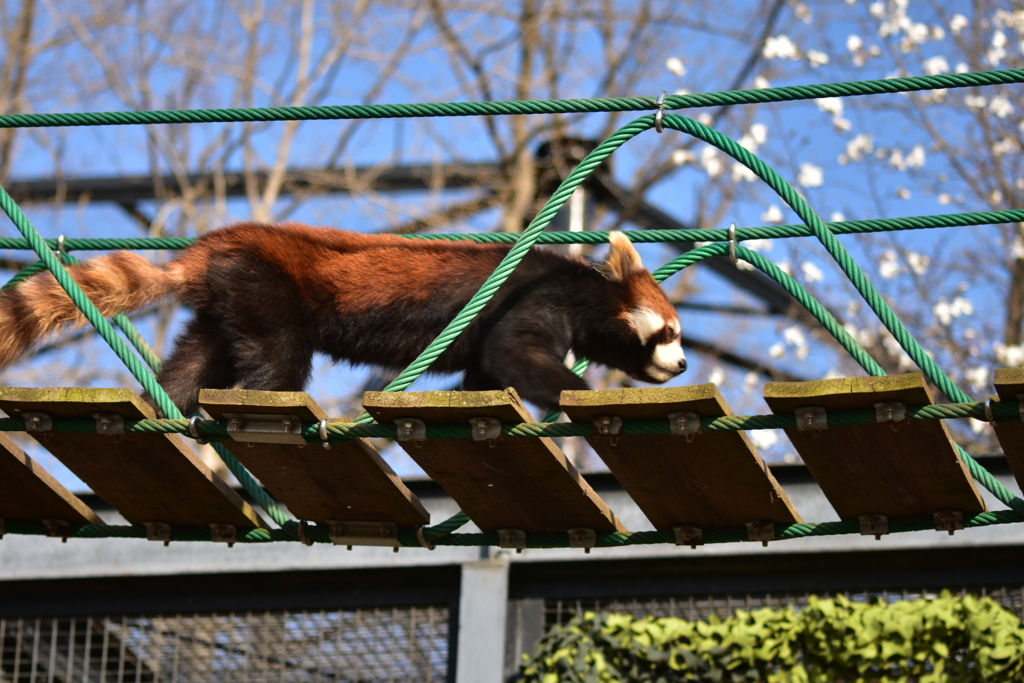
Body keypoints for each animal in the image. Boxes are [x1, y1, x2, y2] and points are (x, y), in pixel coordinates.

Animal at [2, 225, 688, 417]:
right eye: (670, 332)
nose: (682, 364)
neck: (584, 289)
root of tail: (217, 243)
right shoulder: (534, 299)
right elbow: (512, 356)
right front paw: (581, 391)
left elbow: (484, 377)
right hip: (270, 287)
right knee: (277, 361)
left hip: (230, 303)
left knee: (196, 360)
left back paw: (166, 405)